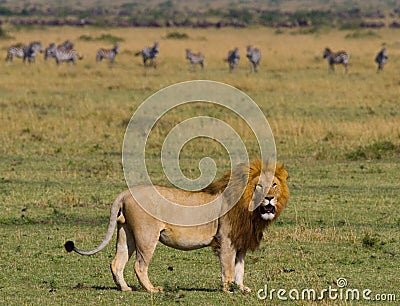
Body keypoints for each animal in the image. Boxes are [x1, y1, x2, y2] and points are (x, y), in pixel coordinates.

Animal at [66, 159, 290, 292]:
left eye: (274, 184)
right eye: (259, 185)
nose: (269, 198)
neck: (250, 210)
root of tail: (126, 192)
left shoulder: (241, 240)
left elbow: (239, 268)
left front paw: (242, 289)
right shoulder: (225, 240)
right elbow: (227, 267)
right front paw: (227, 290)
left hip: (126, 233)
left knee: (116, 262)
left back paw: (125, 289)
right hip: (147, 235)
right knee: (139, 265)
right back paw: (152, 289)